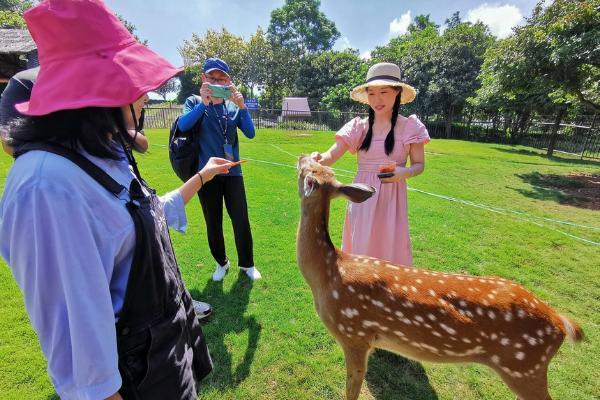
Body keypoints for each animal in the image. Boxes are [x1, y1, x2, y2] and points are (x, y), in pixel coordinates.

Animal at [298, 156, 584, 400]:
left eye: (307, 170)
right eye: (319, 167)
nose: (302, 156)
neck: (328, 274)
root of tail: (561, 322)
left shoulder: (354, 334)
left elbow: (352, 389)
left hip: (524, 366)